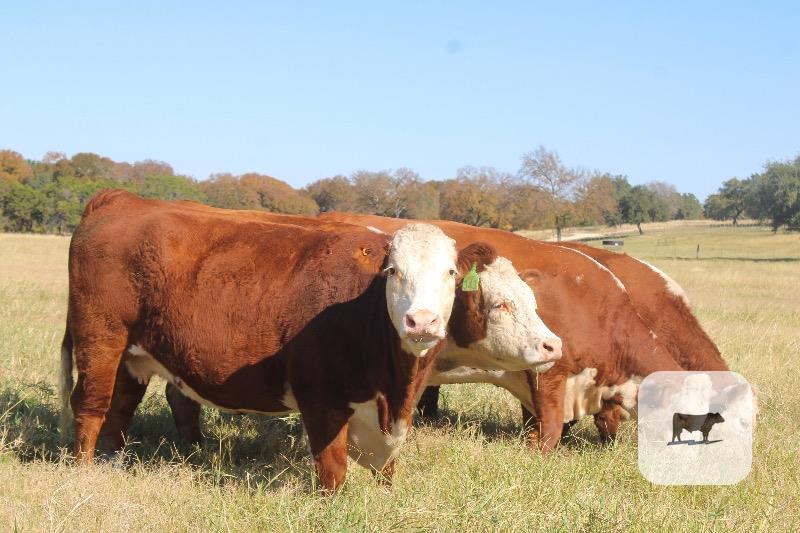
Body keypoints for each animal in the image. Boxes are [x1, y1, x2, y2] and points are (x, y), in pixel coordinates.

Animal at [60, 191, 559, 491]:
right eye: (392, 271)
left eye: (451, 273)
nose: (421, 321)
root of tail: (122, 199)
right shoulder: (320, 397)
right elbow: (332, 467)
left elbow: (389, 469)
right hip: (100, 337)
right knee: (91, 404)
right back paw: (84, 473)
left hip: (133, 353)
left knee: (122, 406)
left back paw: (114, 464)